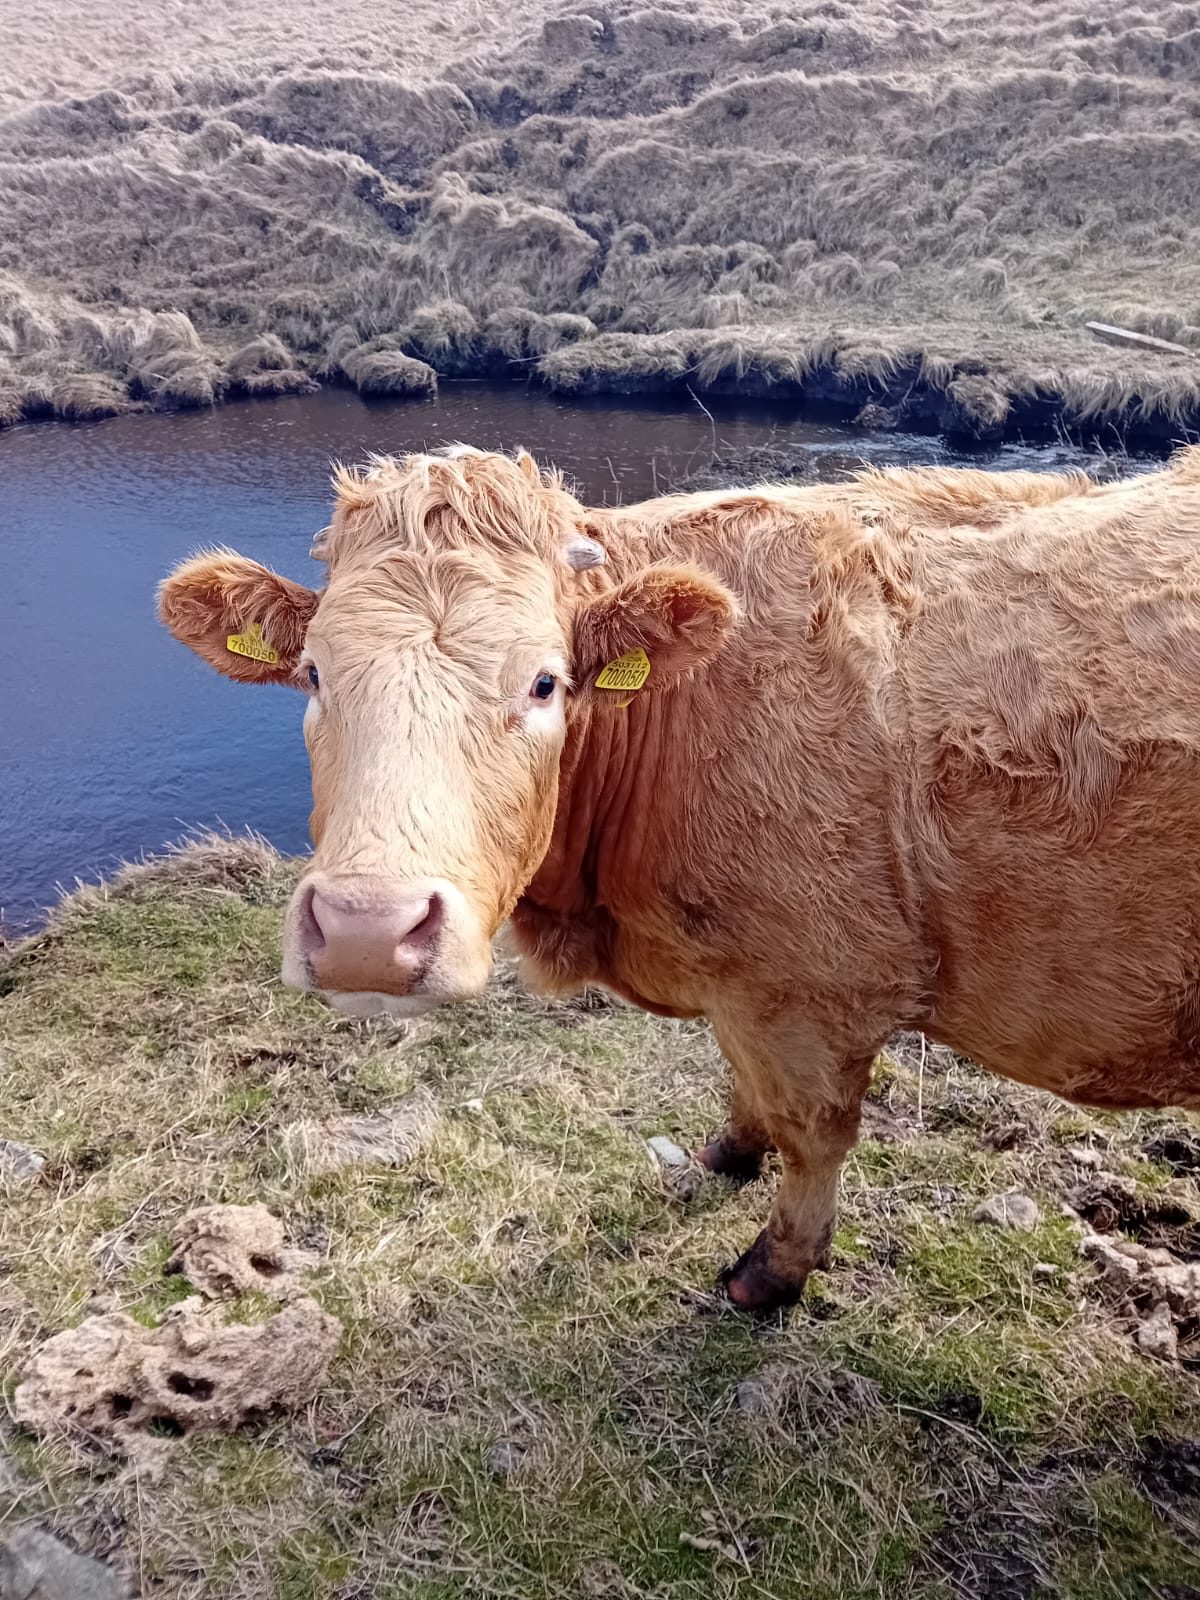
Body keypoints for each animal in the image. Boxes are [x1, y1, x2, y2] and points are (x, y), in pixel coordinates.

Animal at [159, 444, 1200, 1312]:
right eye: (313, 674)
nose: (367, 933)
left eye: (545, 682)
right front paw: (727, 1151)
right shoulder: (747, 987)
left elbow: (813, 1132)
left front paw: (771, 1273)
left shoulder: (810, 990)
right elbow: (748, 1093)